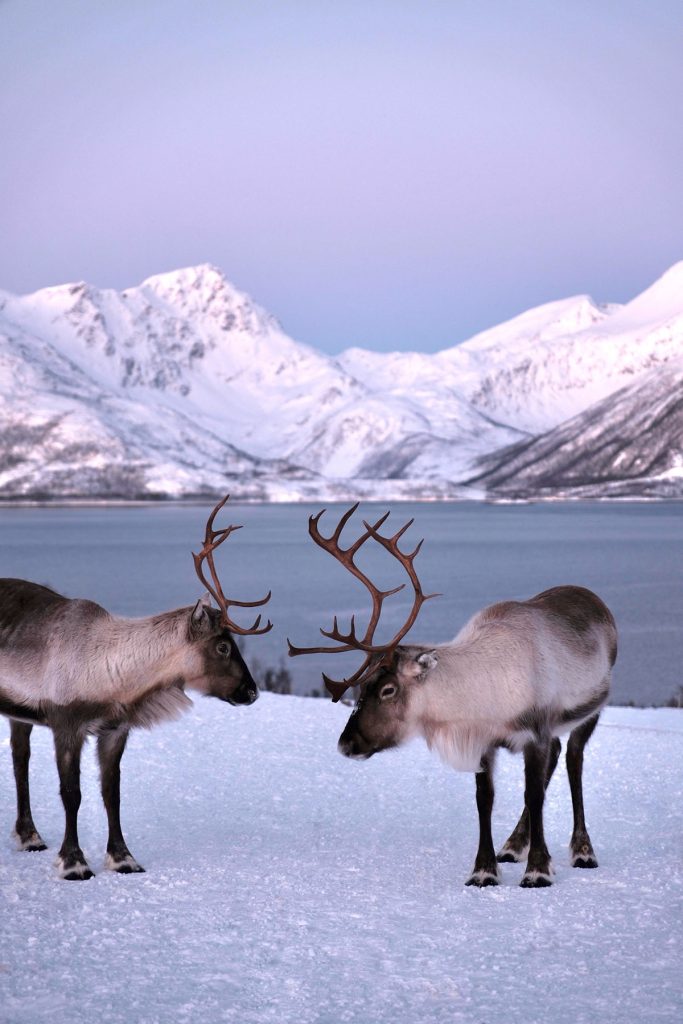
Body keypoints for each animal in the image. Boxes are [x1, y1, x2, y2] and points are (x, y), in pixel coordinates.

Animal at [0, 495, 272, 880]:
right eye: (222, 646)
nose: (251, 692)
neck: (113, 674)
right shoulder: (66, 723)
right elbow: (71, 793)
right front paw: (74, 863)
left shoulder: (116, 729)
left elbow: (111, 792)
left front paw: (122, 858)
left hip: (18, 713)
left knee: (19, 757)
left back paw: (29, 836)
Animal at [288, 504, 617, 888]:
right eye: (361, 686)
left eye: (387, 689)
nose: (346, 744)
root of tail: (597, 601)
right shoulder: (485, 740)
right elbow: (484, 798)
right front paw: (484, 870)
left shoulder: (535, 731)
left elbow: (533, 794)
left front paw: (538, 870)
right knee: (558, 754)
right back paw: (512, 845)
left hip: (591, 710)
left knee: (573, 760)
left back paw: (582, 850)